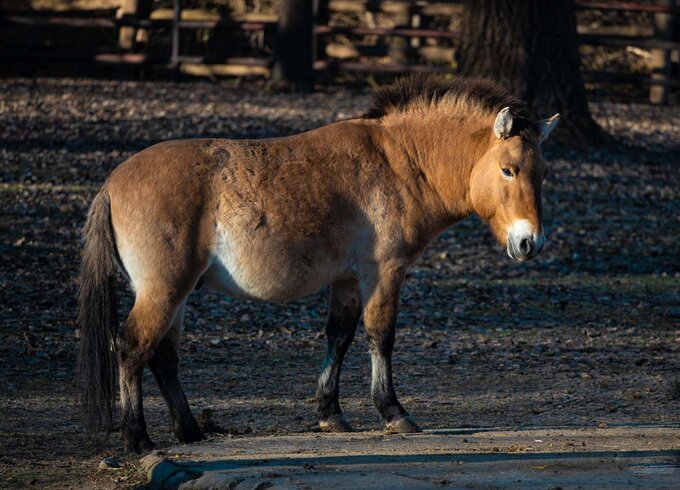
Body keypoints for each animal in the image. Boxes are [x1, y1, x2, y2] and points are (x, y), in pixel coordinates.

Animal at [77, 74, 560, 454]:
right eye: (509, 170)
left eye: (542, 173)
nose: (529, 243)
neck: (399, 162)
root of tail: (112, 184)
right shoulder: (384, 272)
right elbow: (381, 336)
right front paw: (393, 413)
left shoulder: (346, 280)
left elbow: (339, 337)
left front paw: (331, 414)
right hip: (165, 289)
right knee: (132, 346)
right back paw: (138, 438)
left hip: (176, 294)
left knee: (163, 356)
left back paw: (191, 432)